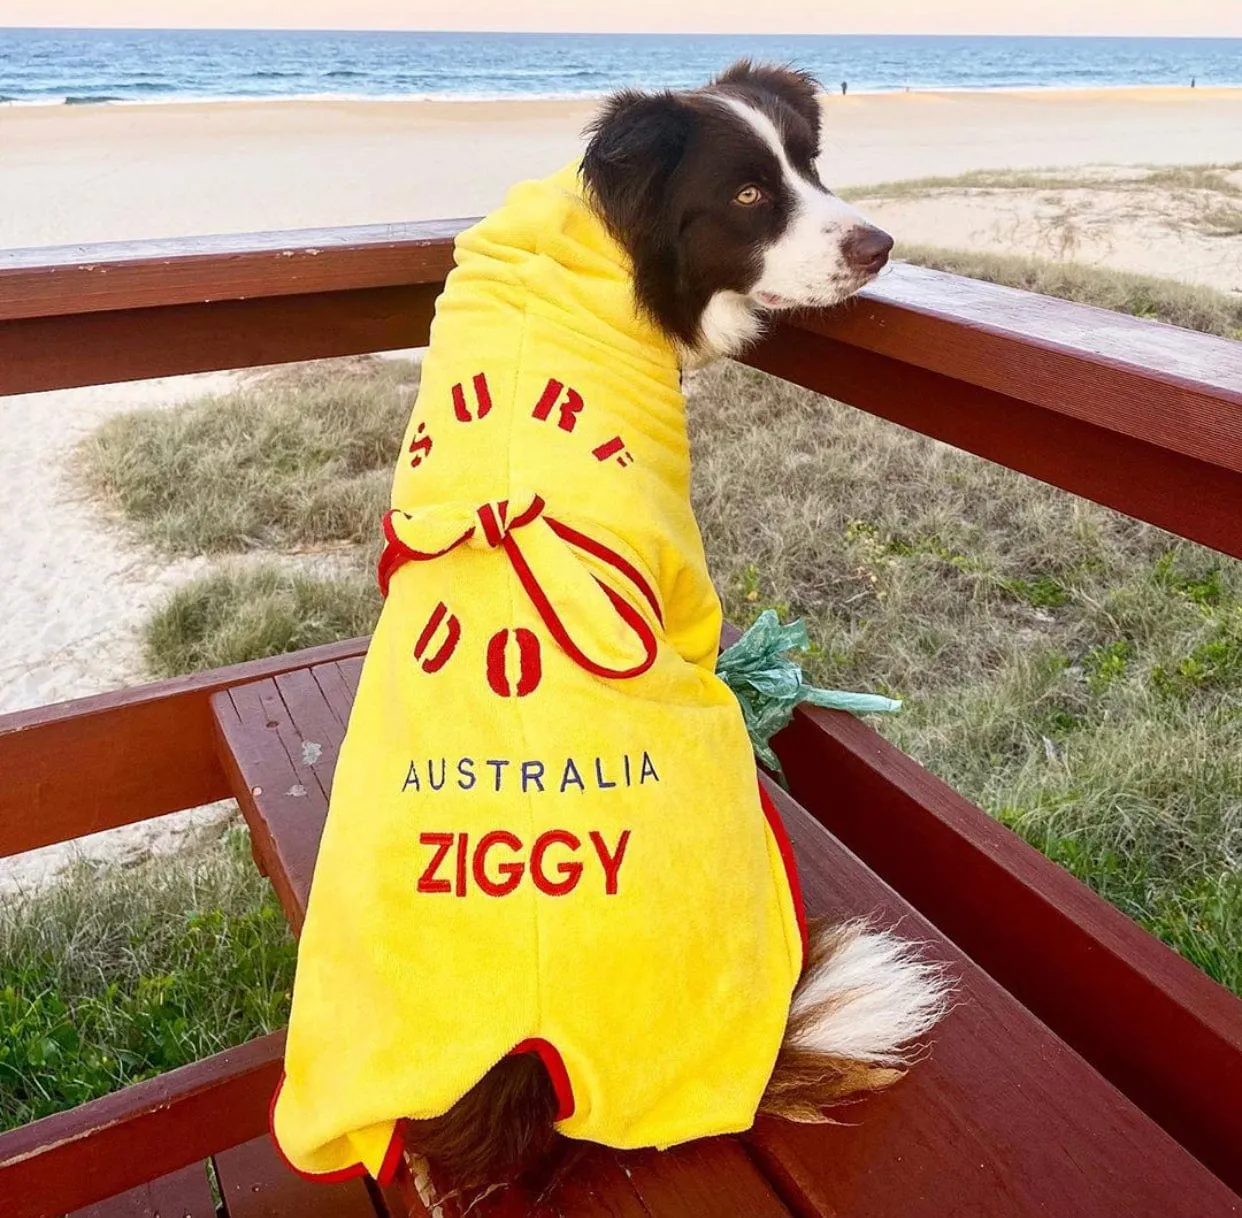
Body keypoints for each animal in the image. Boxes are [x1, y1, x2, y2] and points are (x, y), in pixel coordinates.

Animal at [271, 61, 943, 1201]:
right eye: (750, 195)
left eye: (811, 166)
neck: (594, 256)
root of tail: (534, 1082)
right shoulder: (685, 578)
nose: (880, 244)